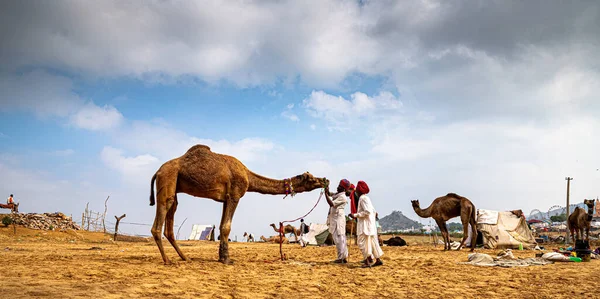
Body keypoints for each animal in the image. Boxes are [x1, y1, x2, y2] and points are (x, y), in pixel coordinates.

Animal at [150, 145, 328, 264]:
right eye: (311, 179)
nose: (325, 180)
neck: (248, 176)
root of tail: (157, 171)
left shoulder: (226, 198)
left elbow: (222, 225)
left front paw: (222, 257)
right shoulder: (235, 195)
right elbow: (226, 227)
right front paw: (227, 260)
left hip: (174, 185)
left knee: (171, 215)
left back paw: (185, 257)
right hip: (167, 178)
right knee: (162, 212)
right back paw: (167, 260)